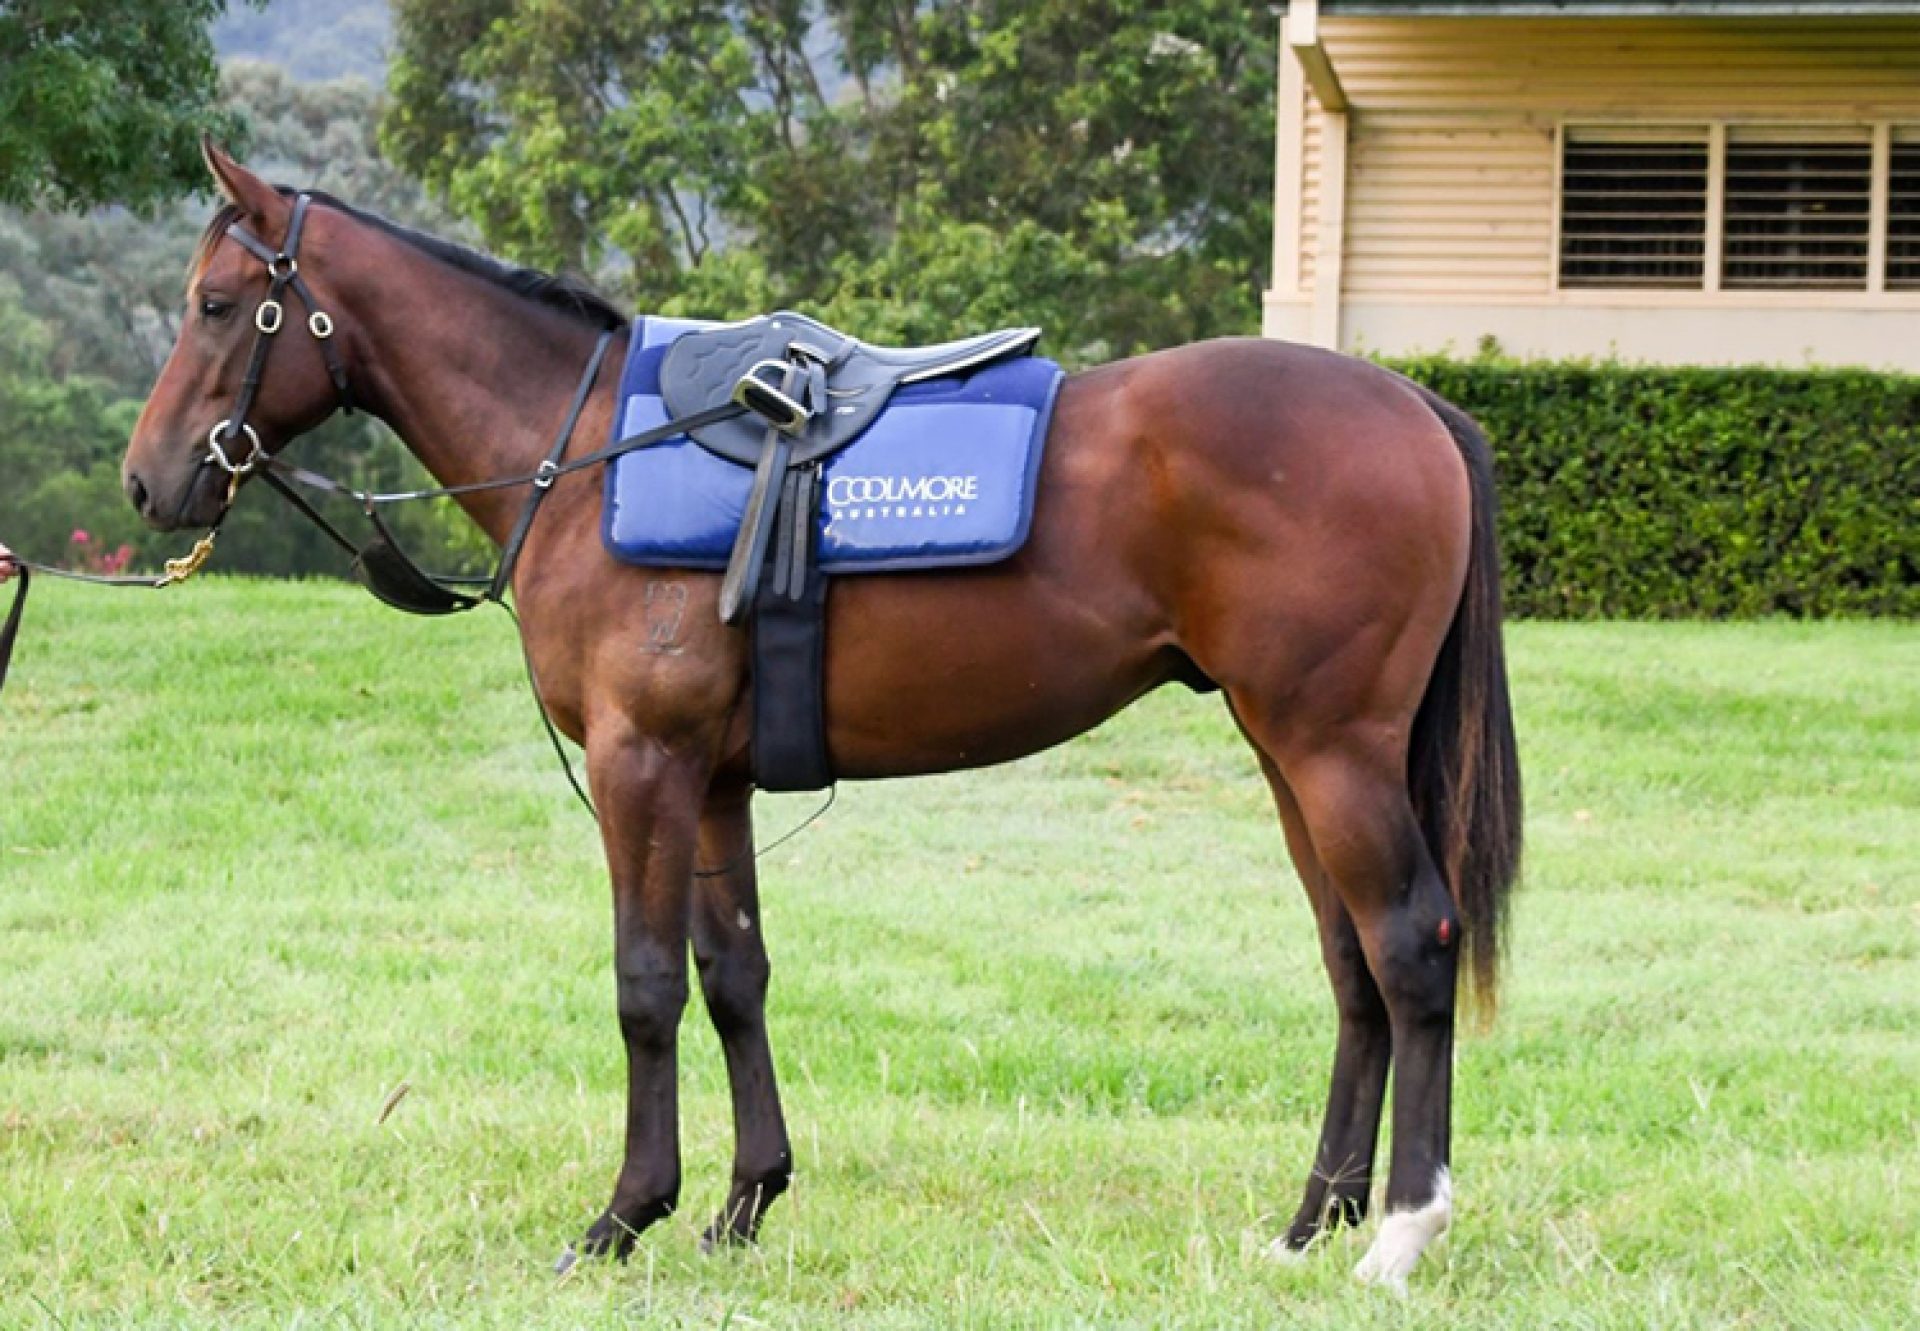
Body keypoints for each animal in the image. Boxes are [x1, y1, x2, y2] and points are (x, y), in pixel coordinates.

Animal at [127, 145, 1520, 1290]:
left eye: (216, 305)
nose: (149, 479)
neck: (588, 454)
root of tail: (1417, 406)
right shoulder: (712, 779)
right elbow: (734, 974)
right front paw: (745, 1200)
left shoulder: (641, 764)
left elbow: (645, 984)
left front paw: (624, 1212)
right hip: (1291, 754)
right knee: (1351, 965)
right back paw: (1308, 1223)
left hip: (1331, 751)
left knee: (1411, 942)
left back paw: (1401, 1231)